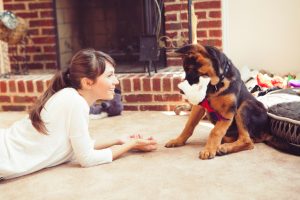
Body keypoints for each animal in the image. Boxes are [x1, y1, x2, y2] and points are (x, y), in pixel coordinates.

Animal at [165, 43, 296, 159]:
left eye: (191, 70)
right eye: (185, 70)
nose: (180, 91)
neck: (217, 85)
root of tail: (267, 132)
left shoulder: (227, 112)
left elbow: (215, 131)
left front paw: (208, 150)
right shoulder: (199, 107)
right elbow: (189, 125)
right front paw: (178, 141)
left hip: (244, 107)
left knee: (248, 141)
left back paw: (224, 148)